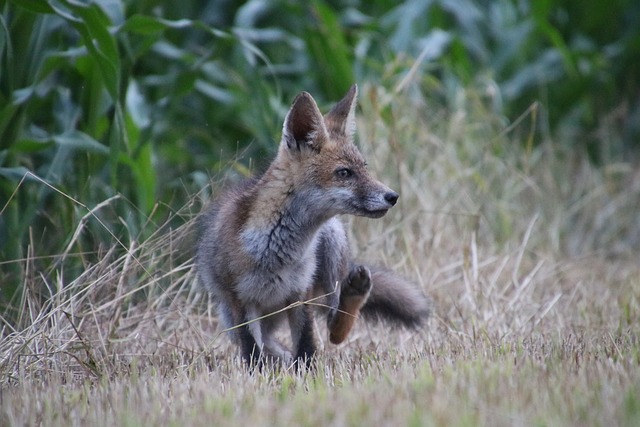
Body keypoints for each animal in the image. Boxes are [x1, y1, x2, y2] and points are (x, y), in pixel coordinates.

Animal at [196, 85, 430, 370]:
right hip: (230, 318)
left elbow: (307, 344)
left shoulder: (300, 293)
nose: (392, 196)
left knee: (333, 324)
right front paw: (260, 374)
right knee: (271, 345)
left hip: (333, 239)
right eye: (344, 173)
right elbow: (252, 352)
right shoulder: (240, 301)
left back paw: (354, 293)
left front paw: (307, 373)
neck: (275, 252)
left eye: (365, 168)